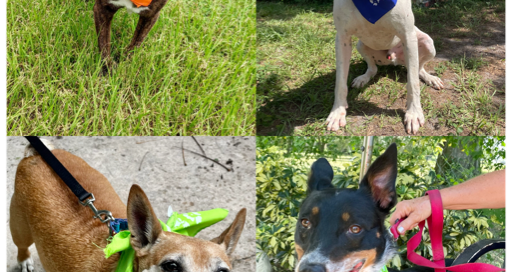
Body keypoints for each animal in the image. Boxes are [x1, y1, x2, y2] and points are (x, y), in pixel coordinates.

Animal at [328, 0, 444, 134]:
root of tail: (394, 59)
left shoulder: (408, 36)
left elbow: (413, 83)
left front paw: (413, 113)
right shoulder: (343, 37)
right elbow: (340, 83)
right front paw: (337, 112)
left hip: (427, 43)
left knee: (418, 68)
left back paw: (430, 78)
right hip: (360, 45)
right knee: (373, 68)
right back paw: (363, 78)